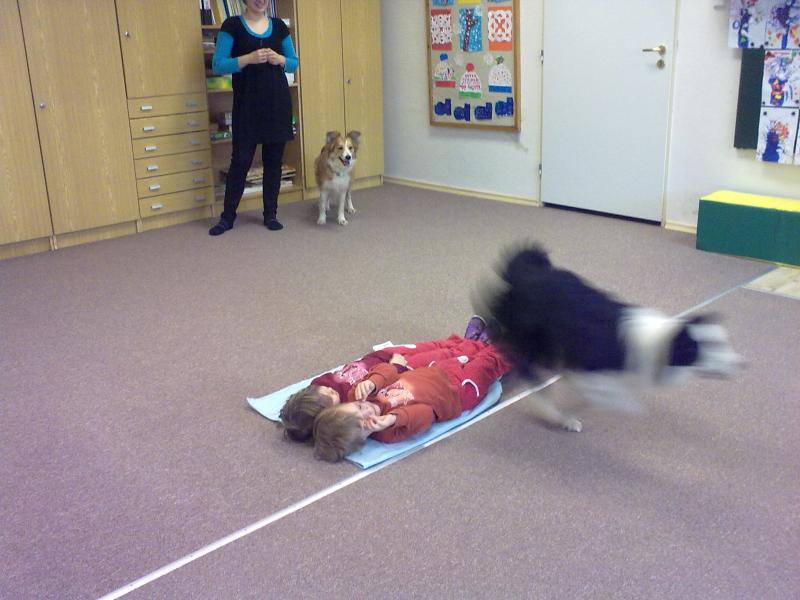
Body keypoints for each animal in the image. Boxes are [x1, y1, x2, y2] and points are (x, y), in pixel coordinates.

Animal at [478, 243, 743, 432]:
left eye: (725, 341)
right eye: (711, 347)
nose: (743, 364)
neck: (660, 342)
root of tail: (528, 273)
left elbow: (595, 395)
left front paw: (573, 413)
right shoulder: (587, 366)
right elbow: (604, 394)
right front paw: (567, 416)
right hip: (534, 341)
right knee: (522, 363)